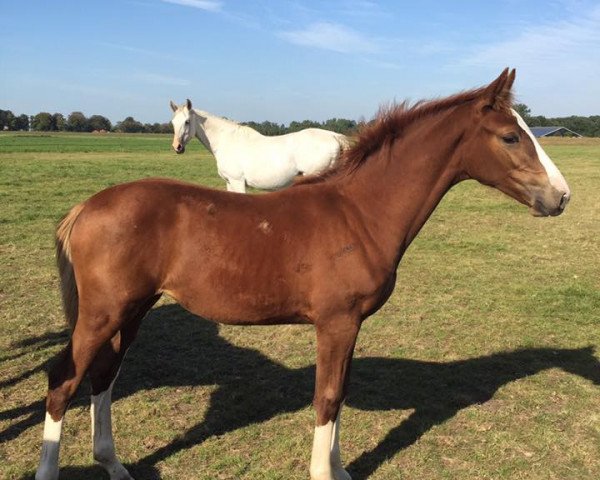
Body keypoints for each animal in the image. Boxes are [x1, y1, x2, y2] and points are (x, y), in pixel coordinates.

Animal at [169, 98, 350, 192]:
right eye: (173, 122)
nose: (177, 147)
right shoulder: (229, 182)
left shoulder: (237, 181)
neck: (227, 141)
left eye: (186, 122)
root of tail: (334, 136)